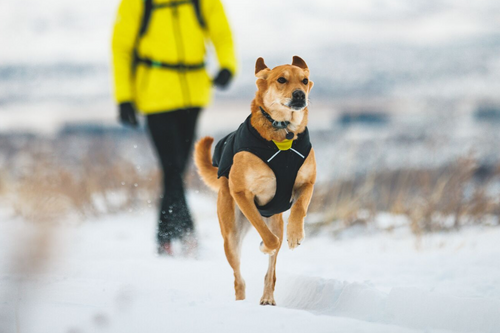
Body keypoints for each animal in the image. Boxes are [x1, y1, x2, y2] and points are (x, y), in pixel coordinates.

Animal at [193, 55, 314, 304]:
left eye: (305, 80)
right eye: (281, 80)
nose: (300, 95)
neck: (282, 135)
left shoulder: (307, 181)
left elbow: (299, 208)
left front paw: (295, 234)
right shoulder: (242, 193)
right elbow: (268, 238)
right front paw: (265, 246)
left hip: (275, 221)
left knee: (271, 272)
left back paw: (267, 297)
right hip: (231, 235)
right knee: (239, 278)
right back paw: (241, 299)